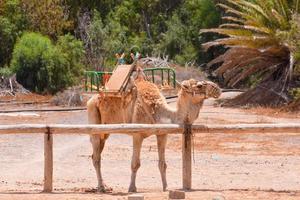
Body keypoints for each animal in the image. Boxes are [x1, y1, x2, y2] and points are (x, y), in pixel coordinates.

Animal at [86, 70, 220, 192]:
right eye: (199, 85)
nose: (218, 89)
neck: (158, 112)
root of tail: (91, 99)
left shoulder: (162, 134)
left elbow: (162, 164)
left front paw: (166, 188)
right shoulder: (137, 134)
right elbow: (135, 164)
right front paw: (132, 188)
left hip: (105, 132)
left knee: (95, 155)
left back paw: (104, 186)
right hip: (94, 117)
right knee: (96, 157)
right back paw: (101, 187)